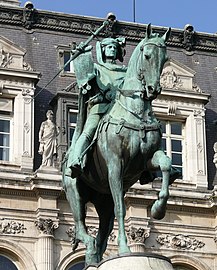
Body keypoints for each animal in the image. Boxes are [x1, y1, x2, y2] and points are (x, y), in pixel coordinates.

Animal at [62, 24, 177, 264]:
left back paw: (95, 255)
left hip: (102, 200)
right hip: (74, 191)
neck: (136, 113)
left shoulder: (147, 160)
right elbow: (122, 209)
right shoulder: (115, 166)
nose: (153, 89)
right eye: (147, 54)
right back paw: (89, 250)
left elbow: (165, 165)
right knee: (80, 225)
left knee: (103, 232)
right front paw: (124, 249)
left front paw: (158, 209)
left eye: (165, 58)